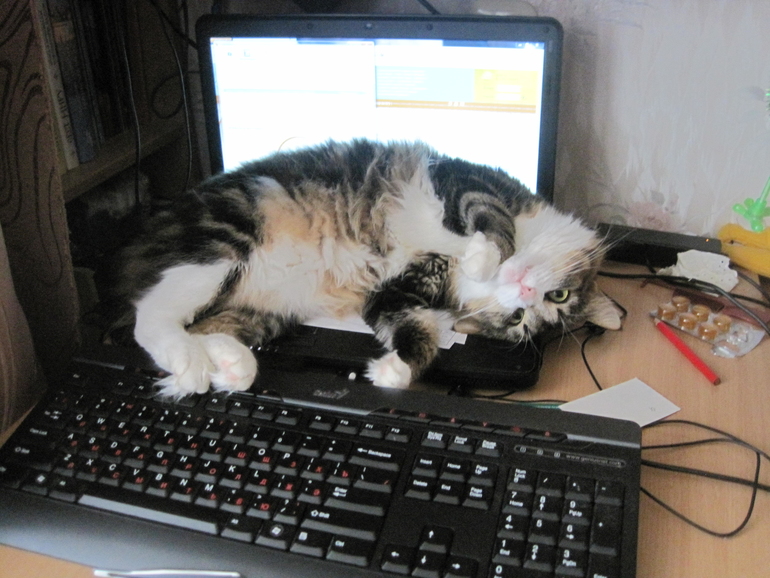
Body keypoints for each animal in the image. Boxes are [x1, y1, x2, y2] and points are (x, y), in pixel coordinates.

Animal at [113, 139, 622, 397]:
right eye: (559, 295)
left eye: (520, 321)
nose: (524, 294)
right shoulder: (462, 179)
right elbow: (493, 224)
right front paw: (484, 257)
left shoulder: (394, 291)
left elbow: (418, 333)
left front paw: (391, 373)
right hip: (225, 242)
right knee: (149, 317)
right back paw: (193, 364)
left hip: (262, 310)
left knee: (190, 328)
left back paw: (225, 367)